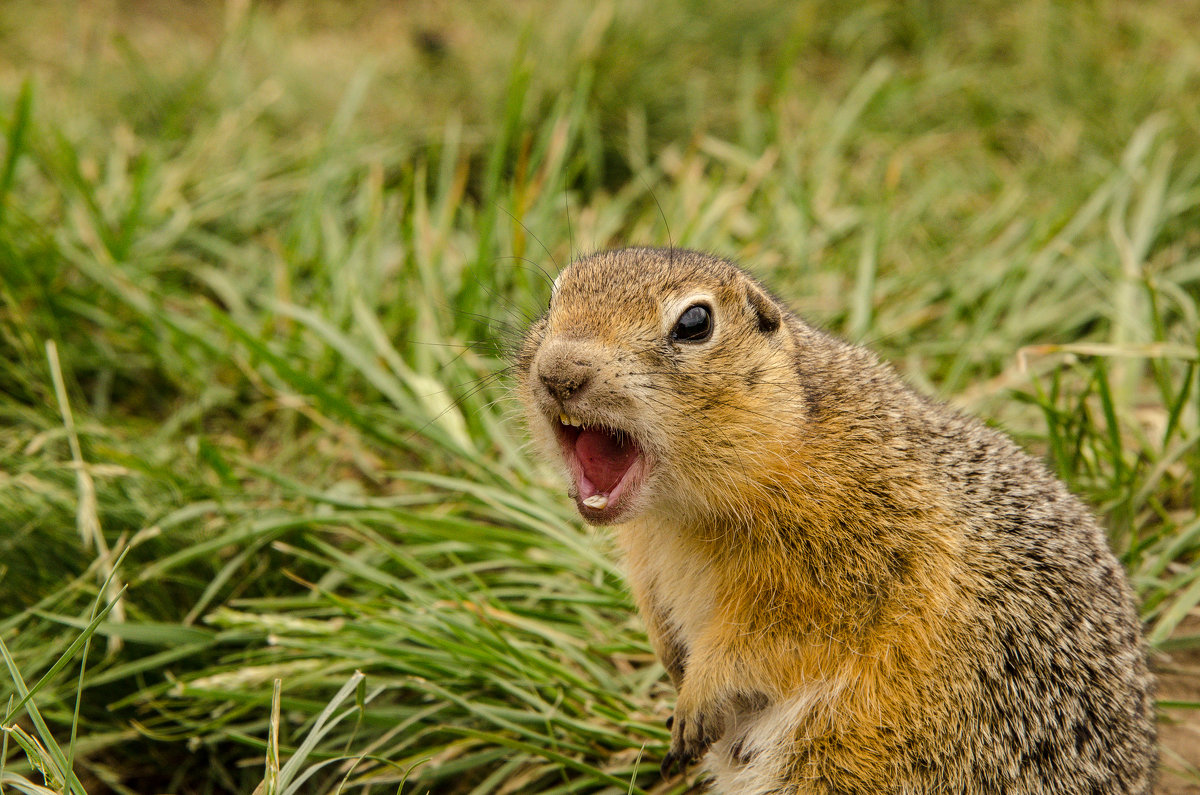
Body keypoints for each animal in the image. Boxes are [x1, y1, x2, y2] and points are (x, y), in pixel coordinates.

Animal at [513, 249, 1152, 795]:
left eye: (695, 322)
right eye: (553, 294)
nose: (559, 372)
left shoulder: (851, 560)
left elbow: (769, 638)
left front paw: (697, 699)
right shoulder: (647, 557)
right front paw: (674, 668)